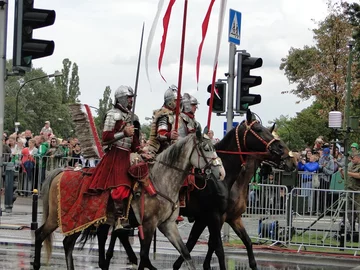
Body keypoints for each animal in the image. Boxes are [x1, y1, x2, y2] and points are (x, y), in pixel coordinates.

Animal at [33, 132, 225, 270]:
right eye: (206, 148)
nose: (221, 173)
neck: (160, 180)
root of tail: (62, 172)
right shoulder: (148, 225)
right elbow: (145, 257)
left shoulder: (167, 225)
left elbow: (187, 254)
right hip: (59, 218)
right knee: (40, 234)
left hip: (79, 220)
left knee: (68, 244)